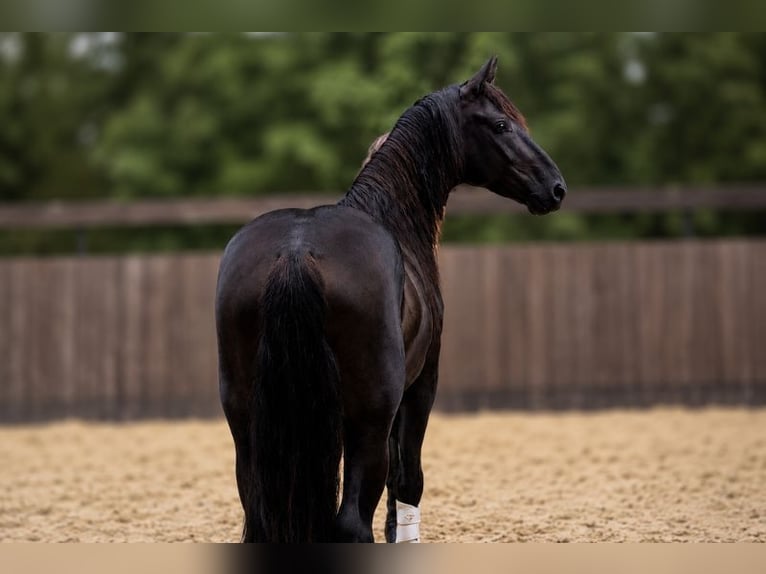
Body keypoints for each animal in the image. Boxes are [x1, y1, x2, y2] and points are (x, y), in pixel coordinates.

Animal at [215, 56, 566, 543]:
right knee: (352, 519)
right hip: (371, 415)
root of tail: (296, 253)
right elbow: (407, 481)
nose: (556, 187)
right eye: (500, 124)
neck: (390, 215)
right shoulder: (420, 384)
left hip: (248, 421)